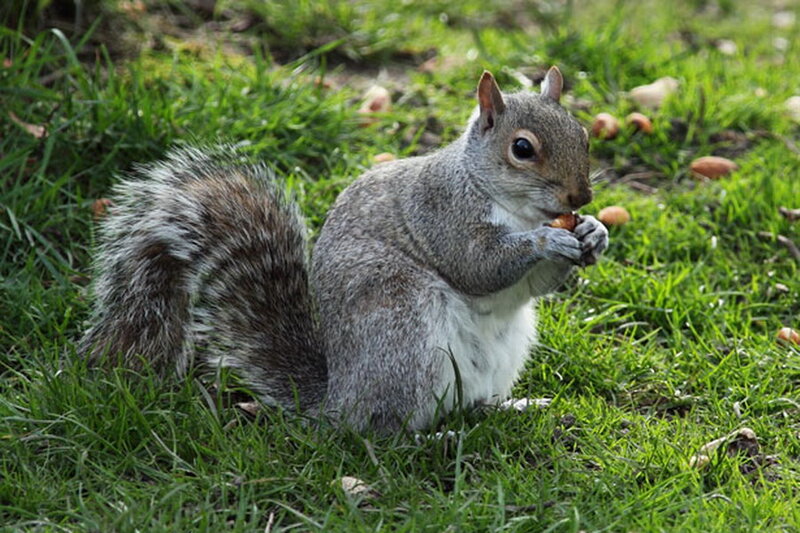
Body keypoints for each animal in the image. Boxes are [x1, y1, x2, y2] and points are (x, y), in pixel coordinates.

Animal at [79, 67, 609, 433]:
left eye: (583, 135)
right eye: (522, 149)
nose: (580, 198)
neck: (517, 209)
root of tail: (337, 401)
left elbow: (534, 286)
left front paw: (594, 233)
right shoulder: (441, 213)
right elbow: (478, 266)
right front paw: (547, 240)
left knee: (470, 402)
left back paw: (513, 405)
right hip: (403, 332)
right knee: (383, 430)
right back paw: (431, 439)